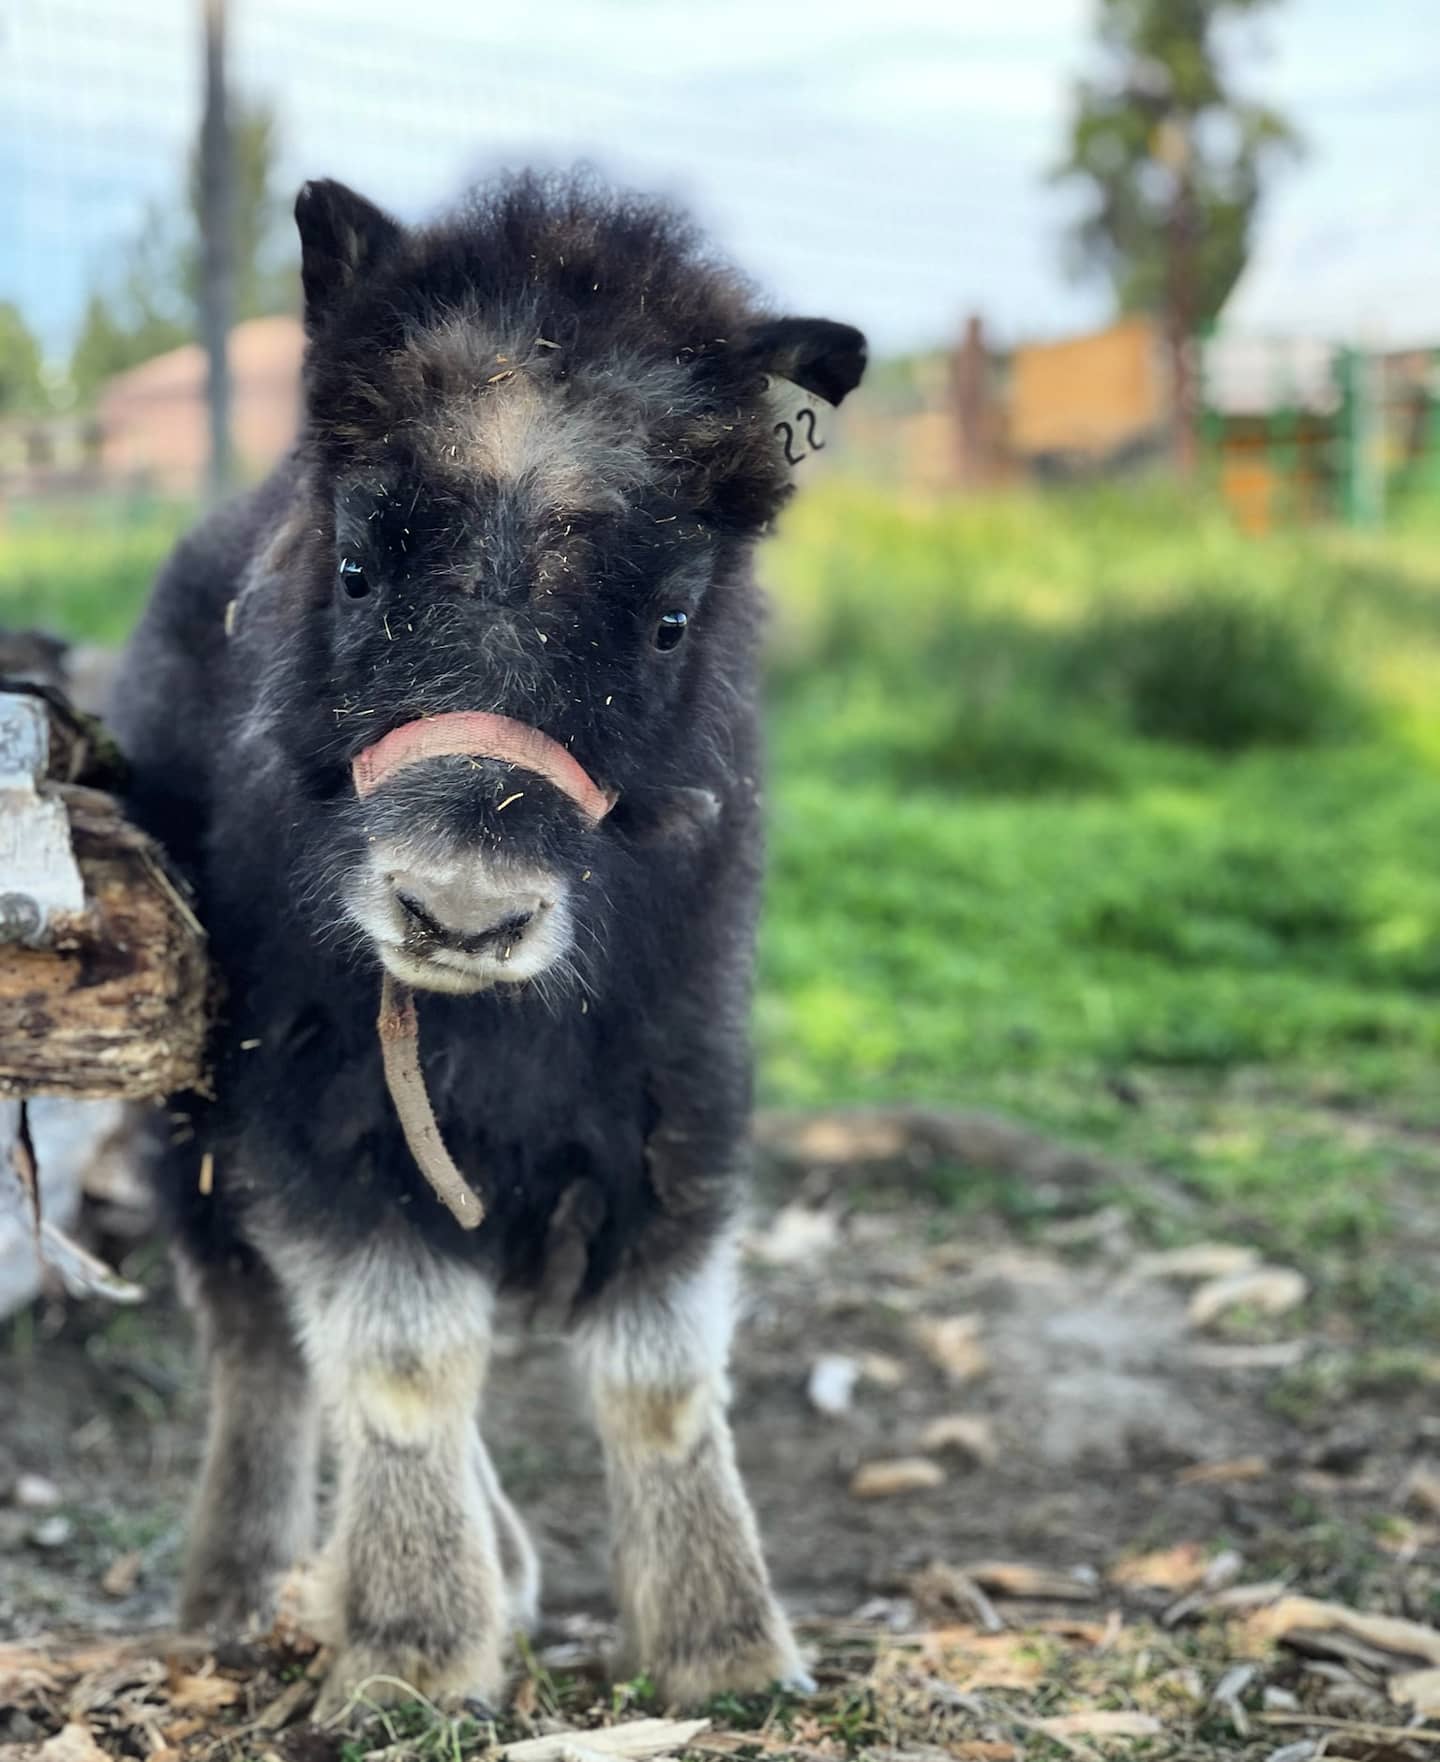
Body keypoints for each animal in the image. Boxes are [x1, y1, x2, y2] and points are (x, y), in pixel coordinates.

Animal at [112, 171, 860, 1712]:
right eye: (355, 568)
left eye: (669, 617)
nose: (458, 913)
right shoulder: (320, 1119)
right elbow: (400, 1363)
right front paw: (411, 1653)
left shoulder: (676, 1107)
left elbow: (659, 1377)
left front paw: (729, 1651)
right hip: (191, 1126)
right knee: (258, 1342)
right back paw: (234, 1597)